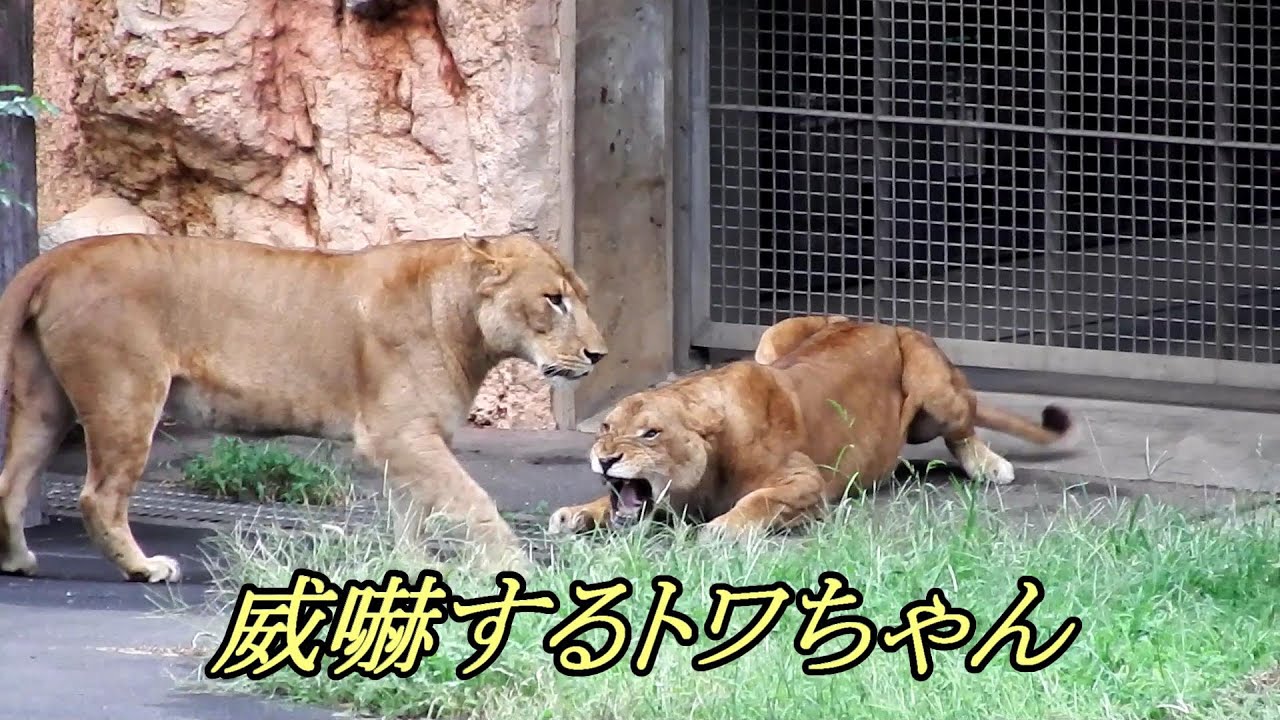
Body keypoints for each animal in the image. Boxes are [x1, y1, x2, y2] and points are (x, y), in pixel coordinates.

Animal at [0, 231, 608, 583]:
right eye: (554, 299)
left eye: (580, 296)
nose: (598, 354)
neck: (459, 320)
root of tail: (55, 259)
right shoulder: (397, 434)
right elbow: (474, 501)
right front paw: (516, 567)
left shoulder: (410, 440)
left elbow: (411, 515)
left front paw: (412, 571)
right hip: (126, 397)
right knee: (99, 496)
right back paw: (145, 568)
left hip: (44, 404)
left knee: (11, 483)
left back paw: (18, 561)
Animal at [548, 314, 1075, 540]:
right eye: (605, 427)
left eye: (650, 434)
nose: (605, 458)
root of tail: (879, 321)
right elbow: (610, 503)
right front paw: (577, 513)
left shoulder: (806, 483)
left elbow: (758, 502)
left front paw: (722, 529)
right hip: (773, 336)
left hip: (934, 385)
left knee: (963, 426)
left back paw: (990, 466)